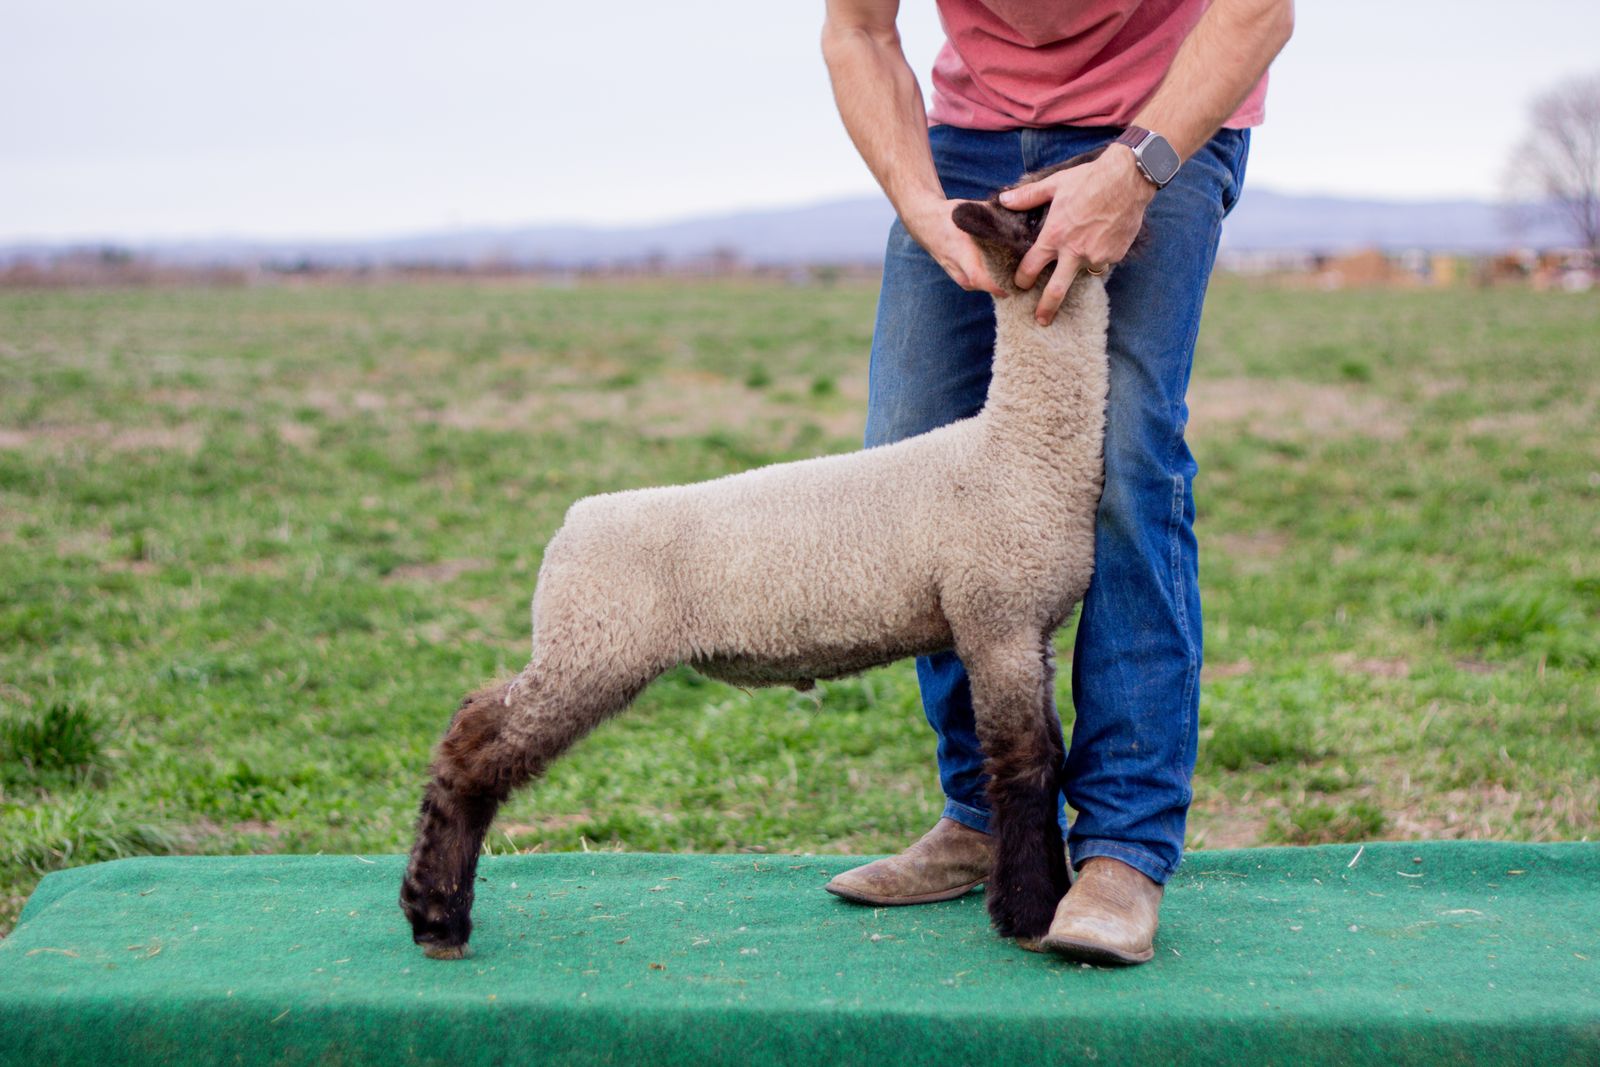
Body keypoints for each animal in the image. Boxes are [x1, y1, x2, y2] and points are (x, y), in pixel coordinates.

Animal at [400, 154, 1112, 960]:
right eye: (1037, 207)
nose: (1102, 157)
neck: (1017, 448)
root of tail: (572, 525)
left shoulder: (1029, 628)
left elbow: (1049, 754)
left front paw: (1042, 902)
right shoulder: (996, 618)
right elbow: (1026, 764)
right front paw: (1032, 914)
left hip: (577, 646)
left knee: (472, 718)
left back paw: (430, 905)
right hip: (595, 647)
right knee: (476, 755)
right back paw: (439, 919)